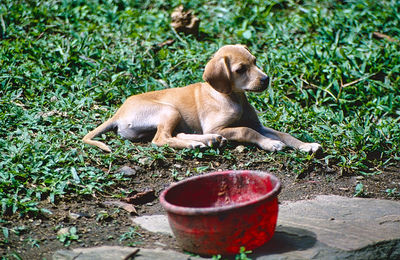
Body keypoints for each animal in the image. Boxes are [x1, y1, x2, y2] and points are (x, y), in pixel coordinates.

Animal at [83, 44, 320, 153]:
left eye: (255, 61)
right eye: (241, 69)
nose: (266, 79)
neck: (233, 97)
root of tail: (119, 112)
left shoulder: (256, 124)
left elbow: (284, 134)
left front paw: (306, 145)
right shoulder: (218, 126)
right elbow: (246, 131)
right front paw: (270, 144)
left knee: (175, 134)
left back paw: (206, 141)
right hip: (169, 110)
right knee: (160, 140)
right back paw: (196, 143)